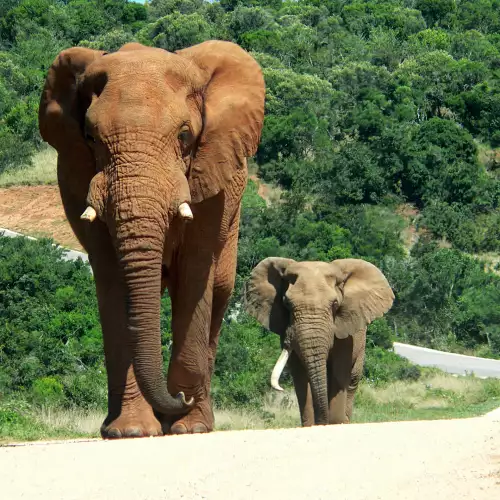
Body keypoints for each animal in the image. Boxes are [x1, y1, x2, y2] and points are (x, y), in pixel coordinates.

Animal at [37, 40, 266, 438]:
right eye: (90, 138)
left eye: (185, 136)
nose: (180, 398)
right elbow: (113, 282)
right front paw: (131, 432)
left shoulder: (212, 182)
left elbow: (194, 274)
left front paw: (186, 425)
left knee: (219, 292)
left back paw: (194, 421)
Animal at [242, 258, 394, 426]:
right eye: (287, 304)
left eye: (335, 304)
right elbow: (301, 377)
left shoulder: (345, 334)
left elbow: (338, 374)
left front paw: (335, 423)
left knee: (351, 382)